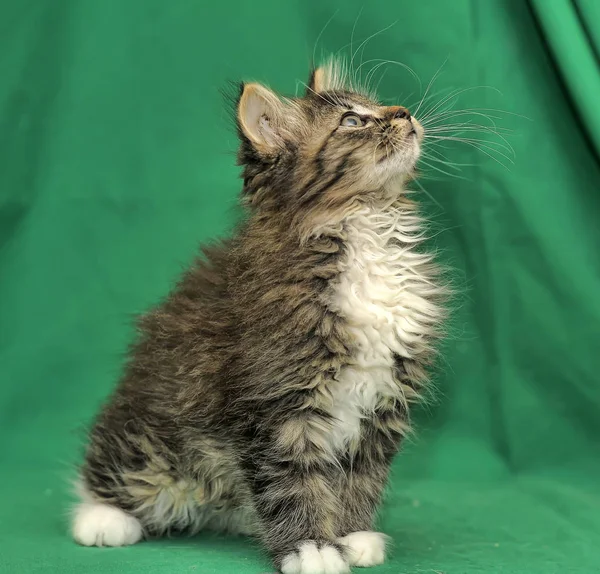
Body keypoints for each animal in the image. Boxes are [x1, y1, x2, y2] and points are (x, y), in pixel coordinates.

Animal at [70, 59, 446, 574]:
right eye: (352, 121)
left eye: (379, 105)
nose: (404, 112)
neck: (365, 228)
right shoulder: (275, 403)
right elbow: (291, 480)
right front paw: (312, 548)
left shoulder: (382, 404)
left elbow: (361, 477)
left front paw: (352, 535)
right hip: (151, 437)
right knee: (115, 462)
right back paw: (103, 518)